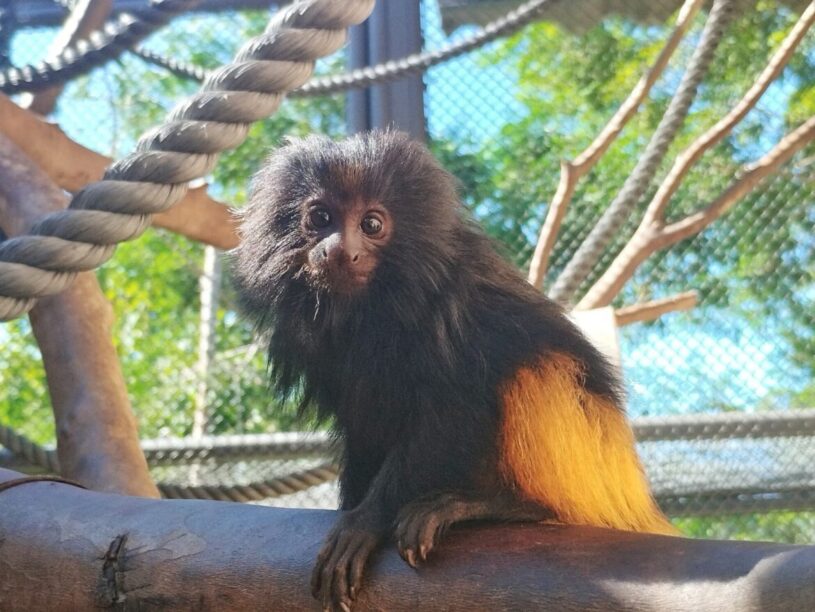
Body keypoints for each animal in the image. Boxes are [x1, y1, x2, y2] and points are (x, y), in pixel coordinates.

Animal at [231, 130, 676, 612]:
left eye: (372, 225)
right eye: (320, 217)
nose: (339, 250)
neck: (372, 310)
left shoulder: (451, 307)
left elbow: (453, 413)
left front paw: (366, 520)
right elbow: (363, 427)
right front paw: (352, 504)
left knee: (535, 365)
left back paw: (510, 507)